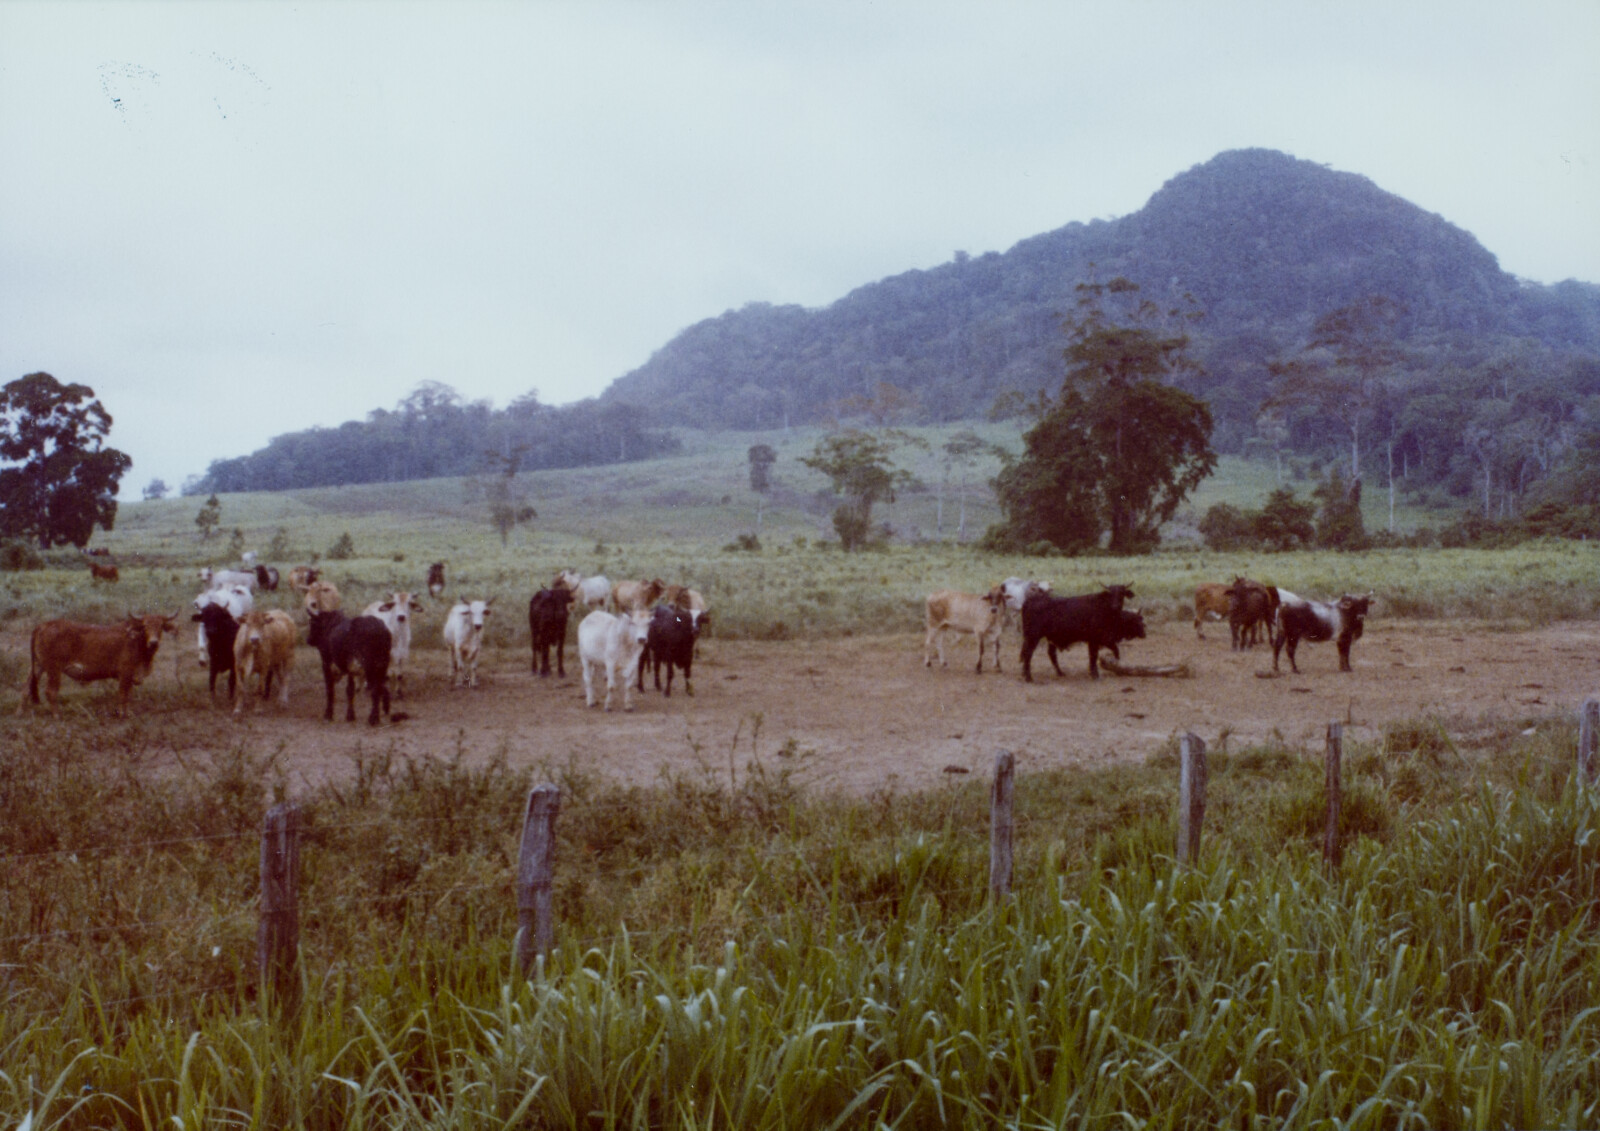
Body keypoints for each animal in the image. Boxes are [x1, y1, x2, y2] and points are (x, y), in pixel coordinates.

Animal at [27, 611, 178, 716]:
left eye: (160, 626)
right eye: (145, 626)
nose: (153, 642)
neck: (136, 640)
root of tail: (43, 625)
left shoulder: (130, 676)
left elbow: (128, 695)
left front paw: (128, 712)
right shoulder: (125, 673)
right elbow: (123, 695)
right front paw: (122, 714)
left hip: (39, 666)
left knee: (27, 688)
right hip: (53, 670)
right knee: (50, 692)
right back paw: (57, 715)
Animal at [1017, 585, 1145, 681]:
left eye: (1122, 594)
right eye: (1137, 620)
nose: (1144, 633)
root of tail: (1029, 601)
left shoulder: (1095, 642)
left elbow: (1096, 655)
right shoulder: (1099, 640)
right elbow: (1103, 654)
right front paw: (1098, 673)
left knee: (1048, 655)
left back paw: (1059, 673)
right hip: (1033, 637)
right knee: (1028, 654)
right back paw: (1029, 678)